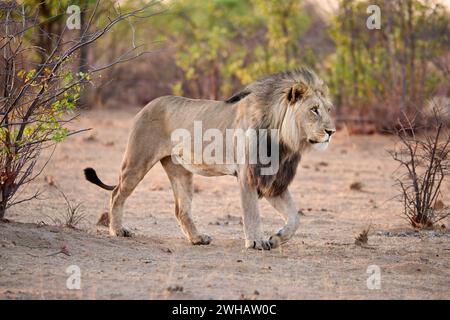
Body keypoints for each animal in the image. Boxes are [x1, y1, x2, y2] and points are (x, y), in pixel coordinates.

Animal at [86, 68, 336, 250]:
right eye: (314, 110)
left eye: (328, 109)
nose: (331, 131)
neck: (283, 139)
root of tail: (147, 105)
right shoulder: (248, 175)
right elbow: (251, 212)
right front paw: (256, 241)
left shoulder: (272, 180)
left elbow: (295, 217)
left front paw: (276, 238)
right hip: (137, 161)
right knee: (116, 193)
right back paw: (117, 230)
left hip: (179, 170)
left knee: (181, 209)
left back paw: (197, 238)